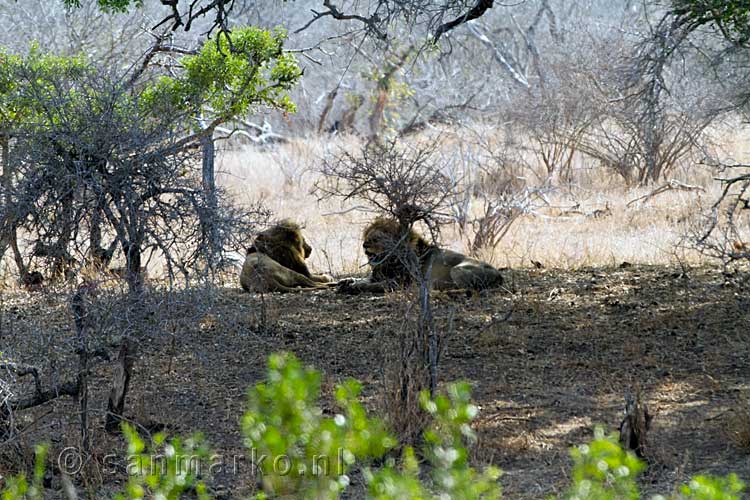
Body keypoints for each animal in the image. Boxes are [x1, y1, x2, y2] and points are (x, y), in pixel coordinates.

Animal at [340, 218, 506, 294]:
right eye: (367, 237)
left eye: (376, 239)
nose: (364, 245)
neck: (388, 262)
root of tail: (499, 275)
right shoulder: (378, 276)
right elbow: (363, 279)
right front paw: (346, 281)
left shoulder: (400, 283)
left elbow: (371, 285)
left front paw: (353, 287)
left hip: (458, 270)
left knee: (469, 290)